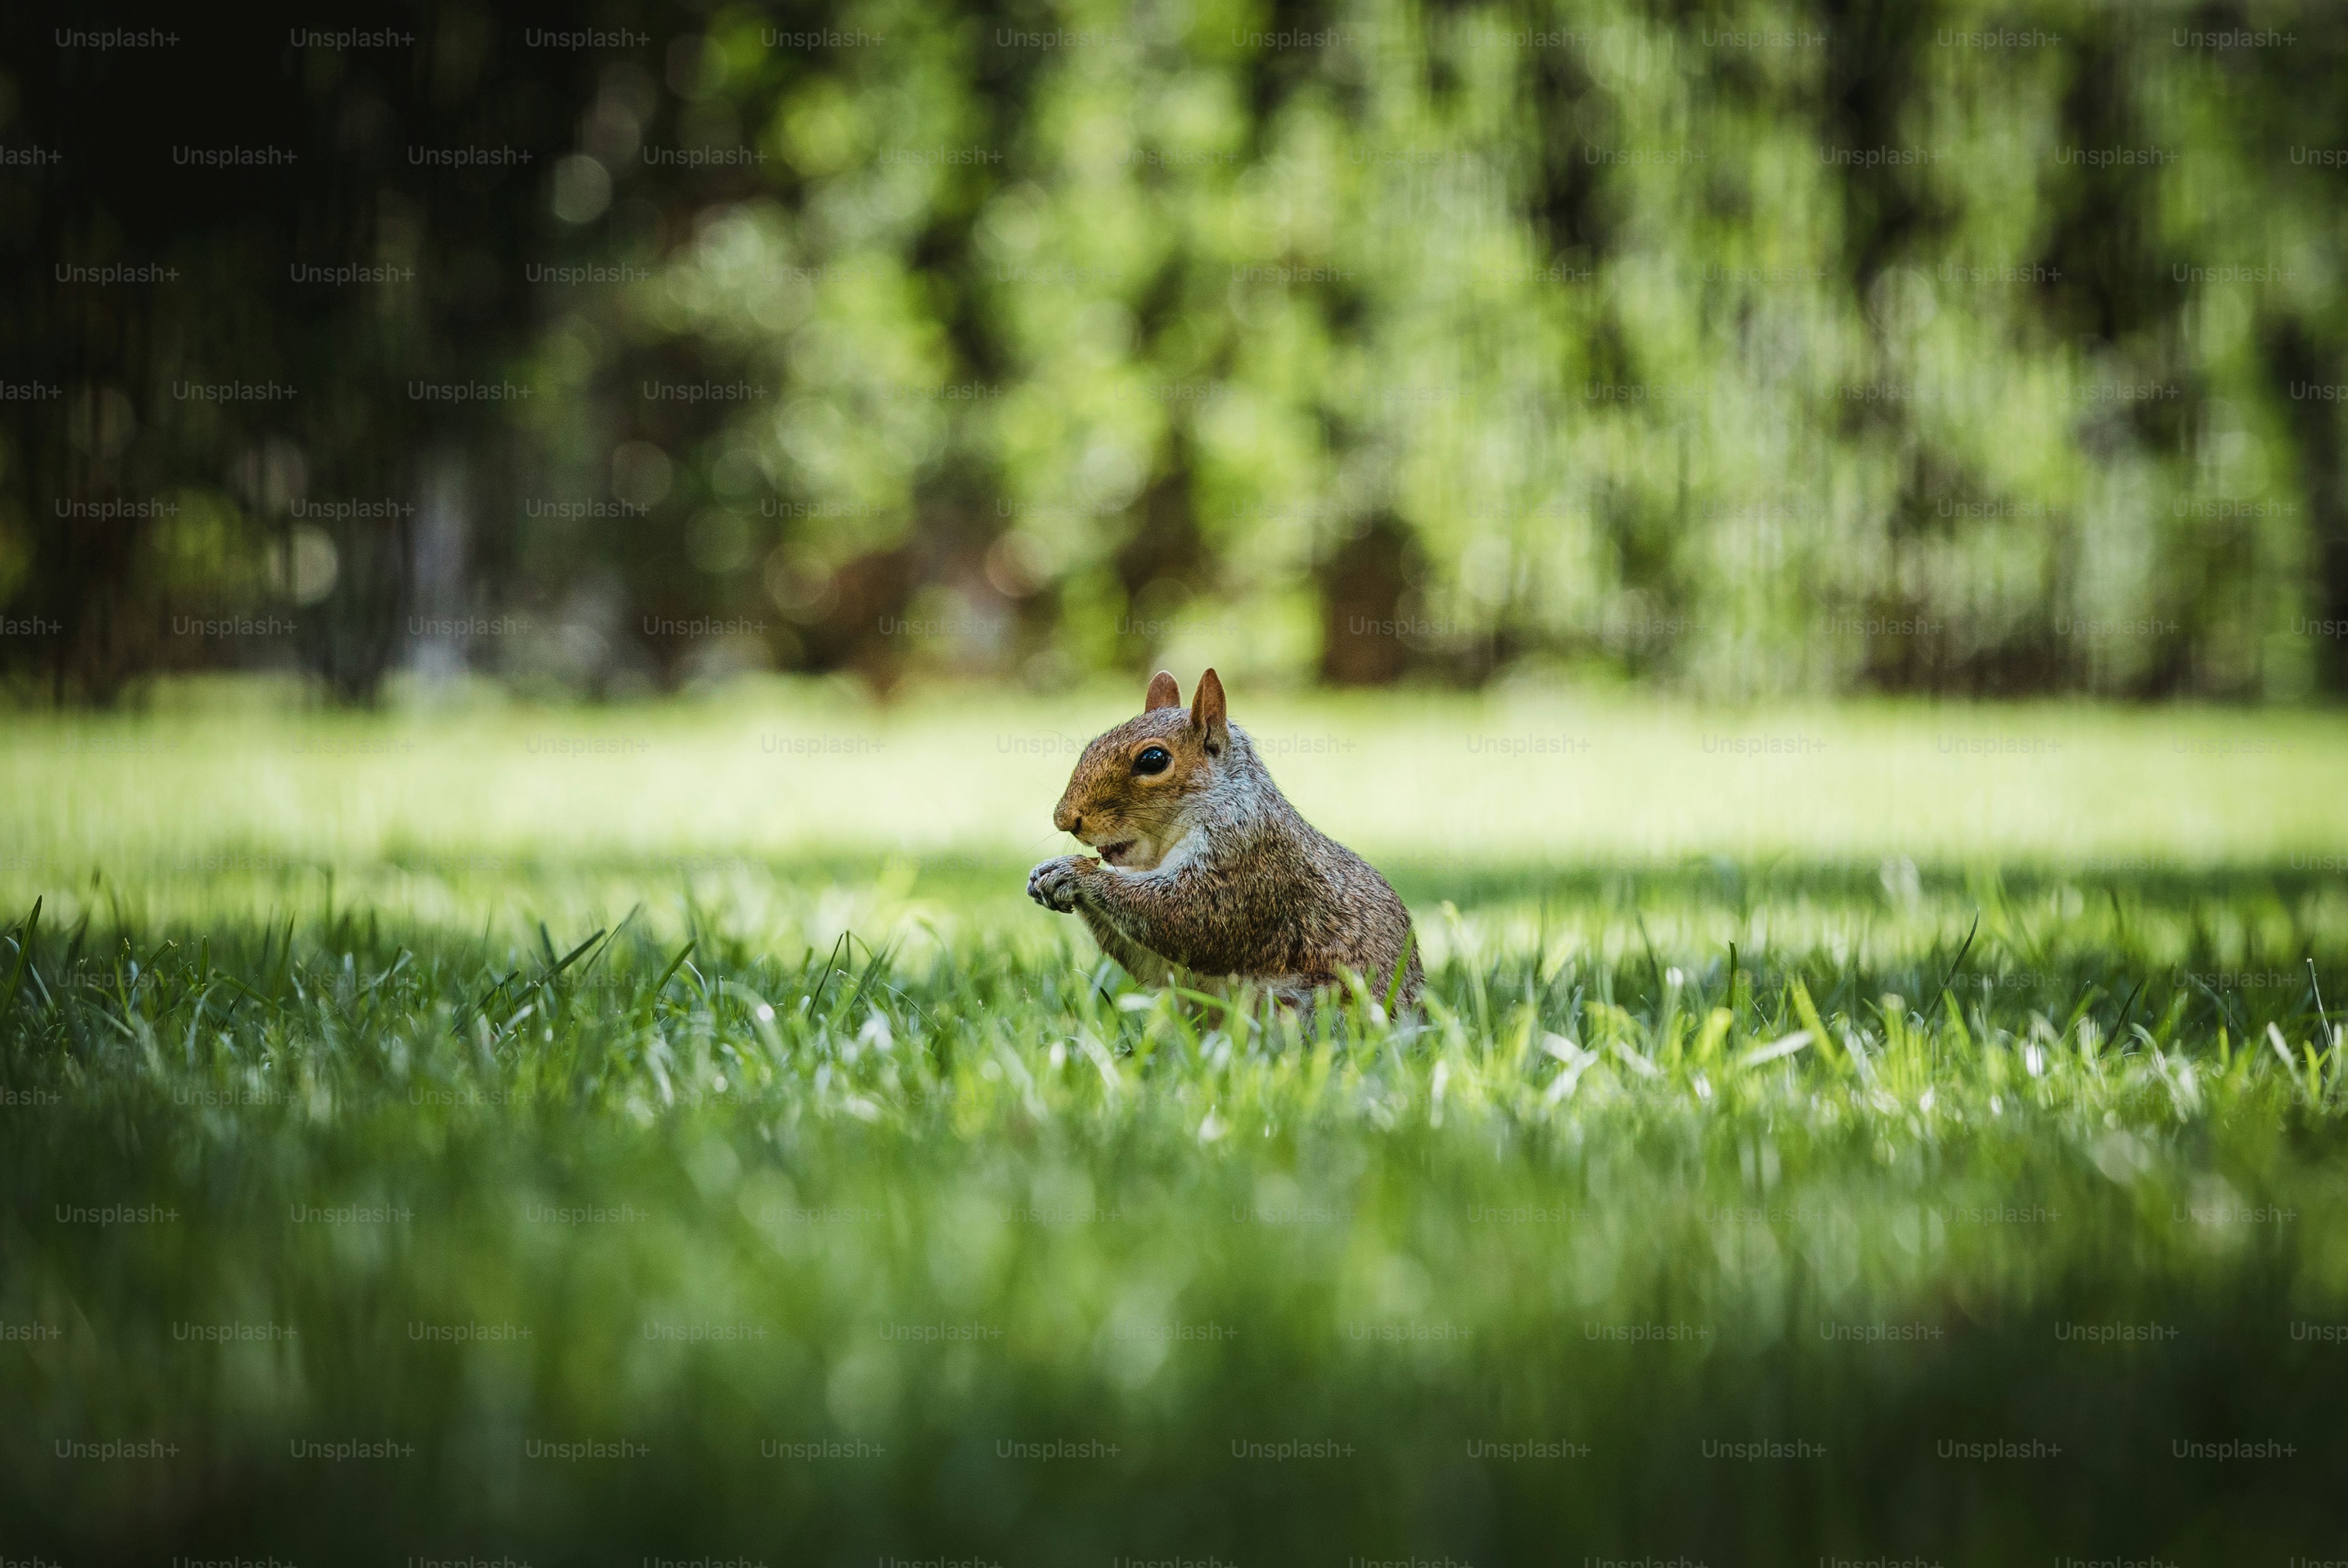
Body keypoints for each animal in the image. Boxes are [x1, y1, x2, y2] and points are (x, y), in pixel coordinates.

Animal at [1026, 668, 1422, 1012]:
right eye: (1092, 745)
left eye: (1153, 759)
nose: (1065, 819)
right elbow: (1159, 965)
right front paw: (1045, 873)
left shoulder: (1247, 858)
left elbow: (1187, 918)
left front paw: (1076, 874)